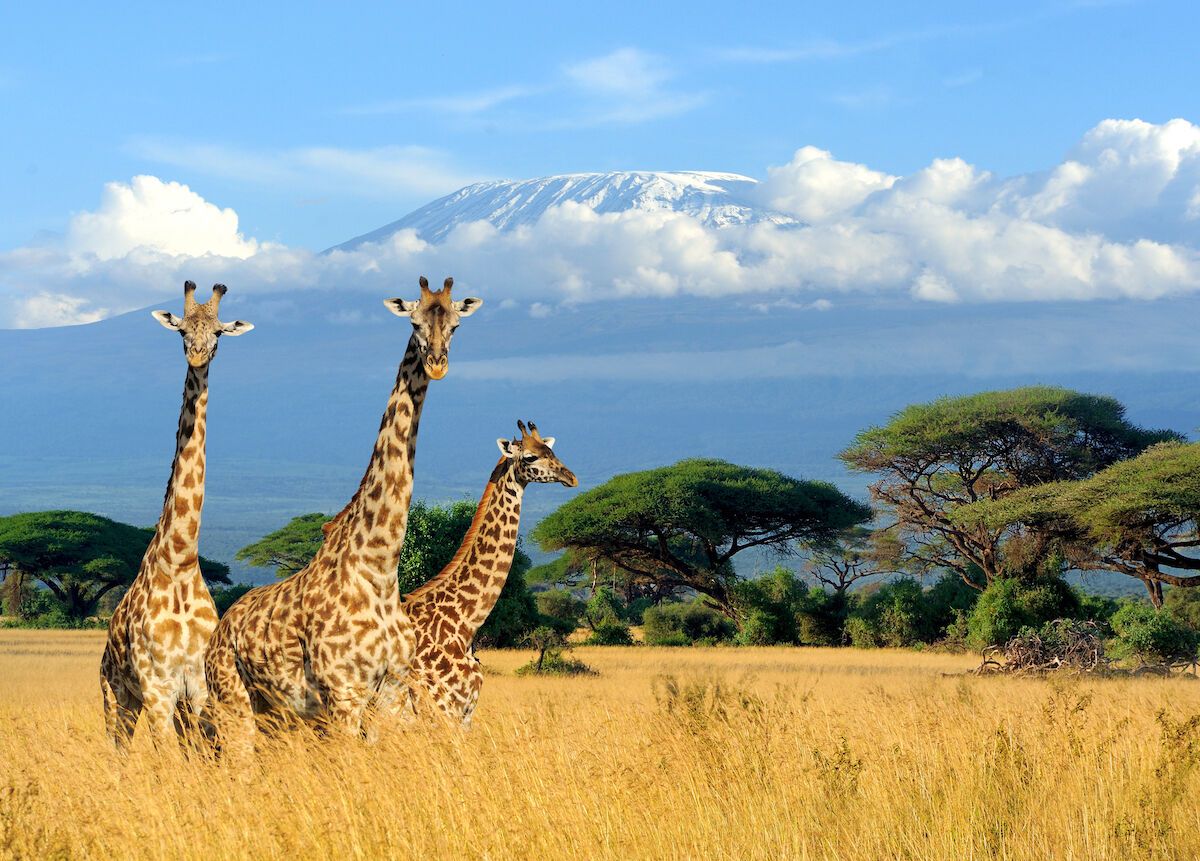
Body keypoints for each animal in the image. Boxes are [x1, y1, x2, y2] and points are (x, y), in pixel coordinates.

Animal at [100, 281, 254, 750]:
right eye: (182, 330)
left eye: (219, 332)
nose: (198, 355)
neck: (181, 560)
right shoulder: (157, 687)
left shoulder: (198, 687)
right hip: (116, 695)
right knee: (118, 749)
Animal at [203, 276, 481, 748]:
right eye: (414, 322)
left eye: (457, 325)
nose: (437, 364)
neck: (379, 568)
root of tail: (220, 630)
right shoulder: (344, 694)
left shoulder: (391, 692)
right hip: (232, 701)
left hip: (276, 714)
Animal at [401, 420, 577, 726]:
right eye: (529, 457)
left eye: (552, 451)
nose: (571, 477)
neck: (464, 623)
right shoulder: (443, 711)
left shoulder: (464, 714)